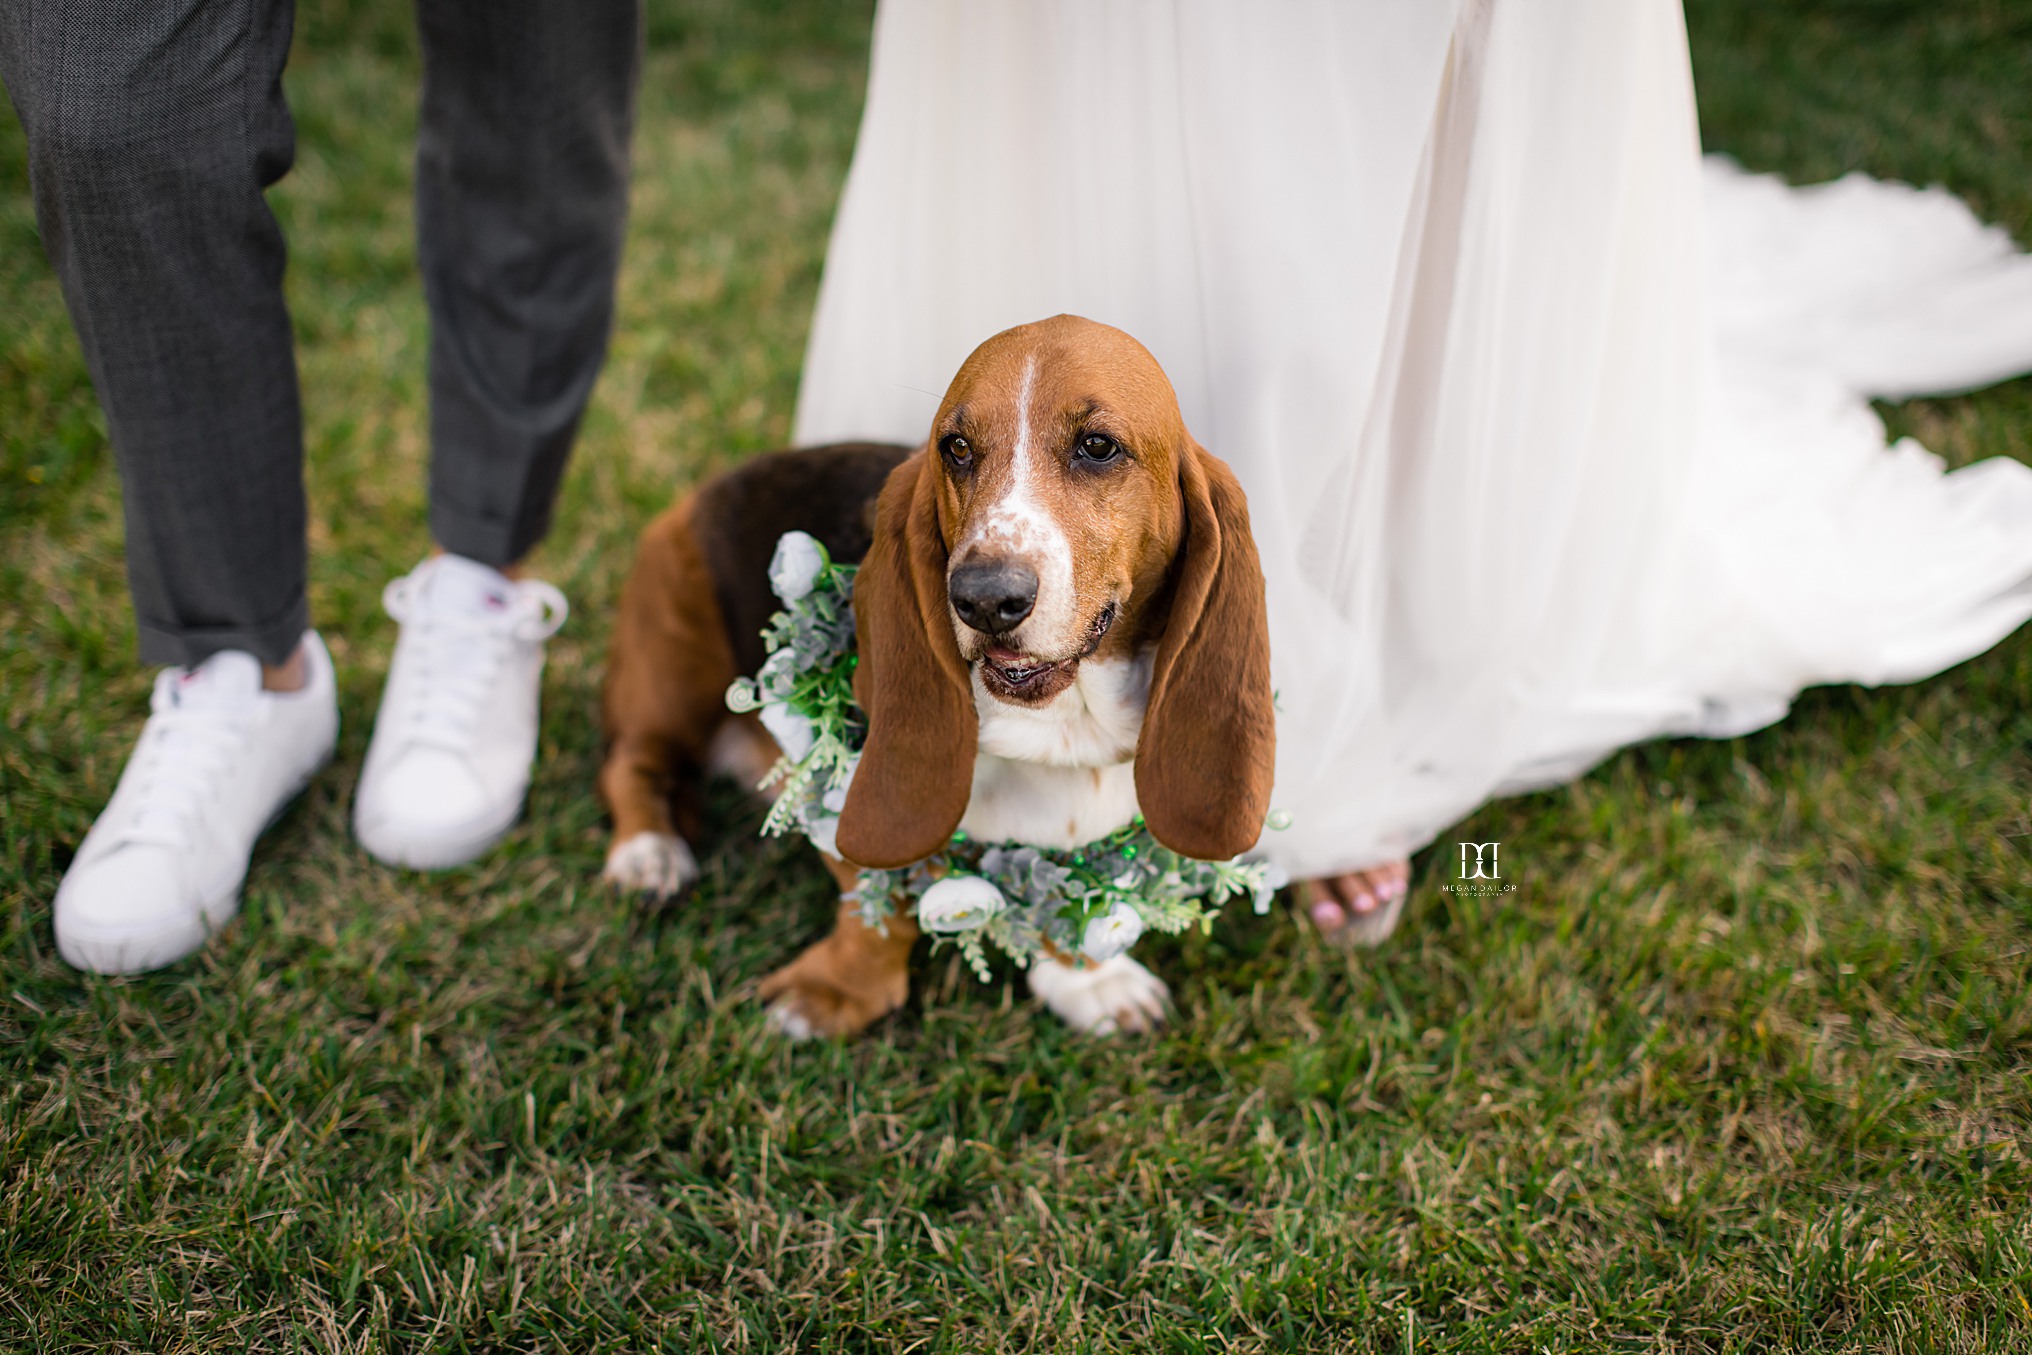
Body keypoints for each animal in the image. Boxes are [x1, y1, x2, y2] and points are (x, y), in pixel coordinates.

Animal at [593, 314, 1276, 1040]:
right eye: (956, 448)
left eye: (1098, 447)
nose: (984, 598)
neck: (1061, 725)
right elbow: (880, 899)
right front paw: (835, 990)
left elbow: (1071, 905)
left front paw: (1090, 980)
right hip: (673, 668)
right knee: (631, 763)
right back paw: (648, 854)